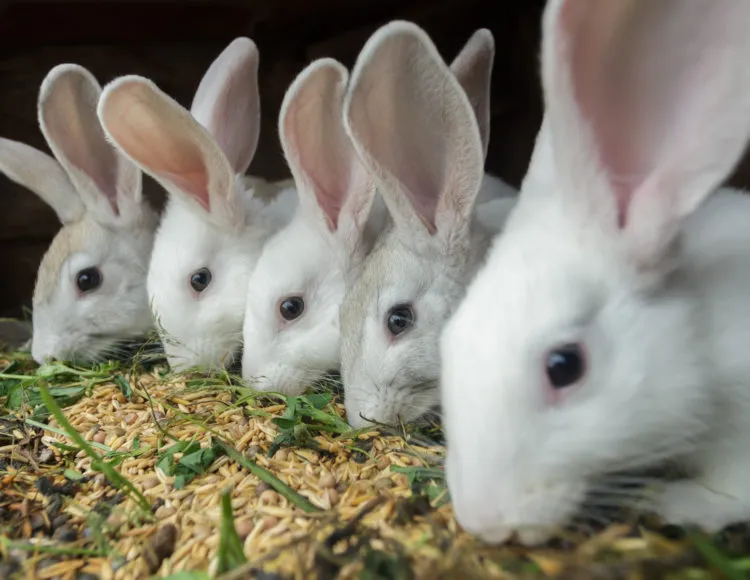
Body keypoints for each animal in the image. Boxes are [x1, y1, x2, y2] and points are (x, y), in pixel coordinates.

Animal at [440, 0, 750, 547]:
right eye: (449, 338)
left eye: (565, 366)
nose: (483, 521)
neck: (700, 341)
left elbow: (734, 490)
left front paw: (683, 503)